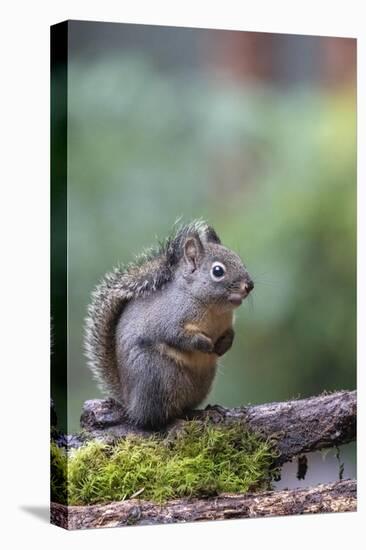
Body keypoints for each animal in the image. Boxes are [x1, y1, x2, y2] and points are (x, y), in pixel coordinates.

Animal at [84, 222, 253, 430]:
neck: (212, 308)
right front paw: (204, 344)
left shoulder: (227, 324)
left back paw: (204, 411)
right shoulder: (168, 319)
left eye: (239, 259)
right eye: (218, 271)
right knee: (153, 418)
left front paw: (224, 345)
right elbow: (177, 336)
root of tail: (130, 402)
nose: (250, 285)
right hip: (157, 375)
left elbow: (230, 333)